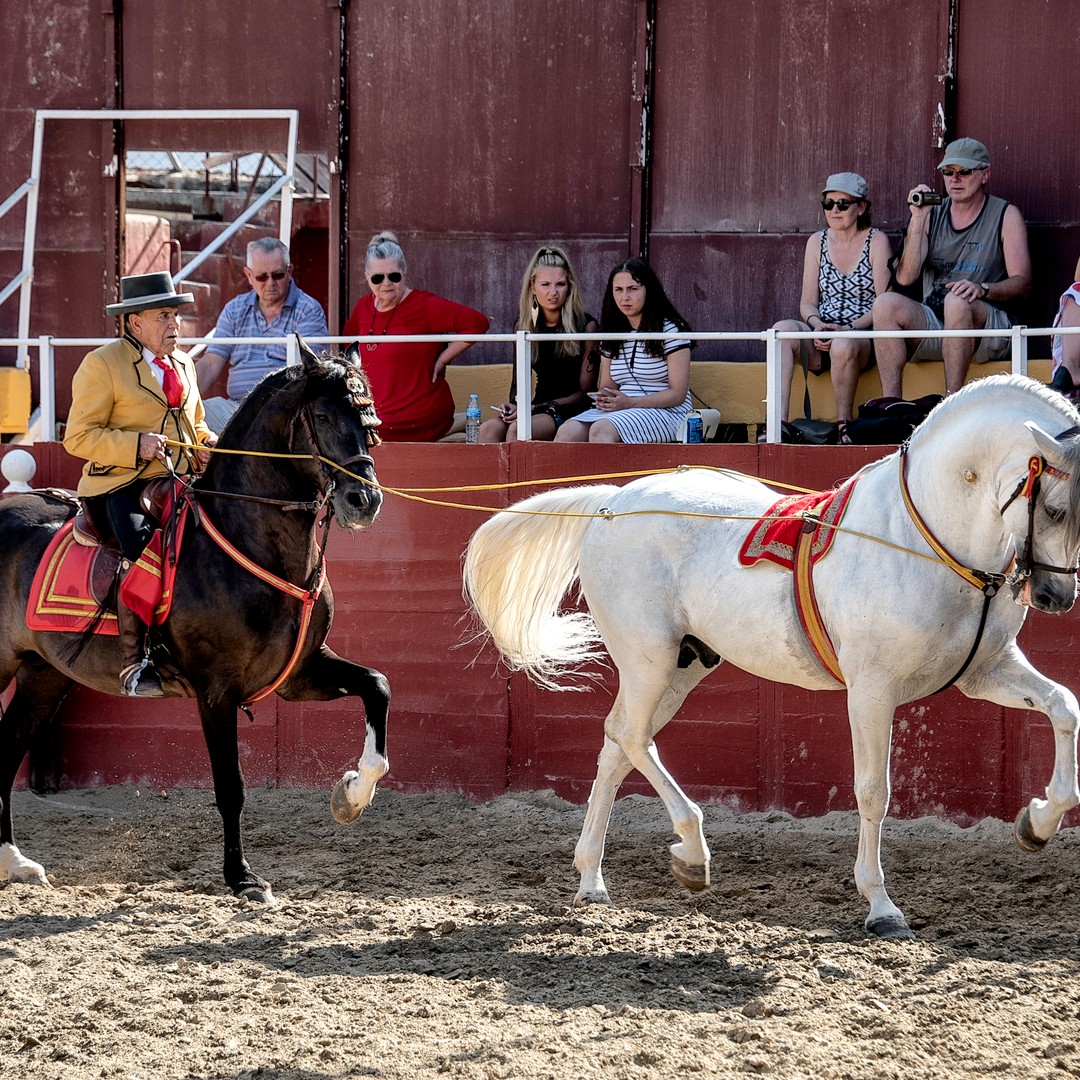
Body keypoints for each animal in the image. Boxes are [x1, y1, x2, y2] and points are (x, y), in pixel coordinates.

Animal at [0, 339, 391, 903]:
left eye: (370, 417)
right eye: (321, 415)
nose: (365, 500)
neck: (251, 538)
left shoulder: (300, 674)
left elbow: (377, 686)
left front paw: (351, 797)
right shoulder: (216, 691)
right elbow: (231, 787)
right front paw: (242, 877)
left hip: (42, 675)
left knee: (6, 754)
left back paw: (15, 861)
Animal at [463, 373, 1080, 938]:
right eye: (1053, 509)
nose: (1056, 596)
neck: (924, 538)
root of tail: (614, 503)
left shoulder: (985, 671)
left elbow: (1063, 707)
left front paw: (1037, 823)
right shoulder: (872, 689)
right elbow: (873, 791)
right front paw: (881, 907)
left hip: (682, 667)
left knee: (617, 747)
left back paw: (593, 881)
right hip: (648, 658)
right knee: (632, 738)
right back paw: (691, 853)